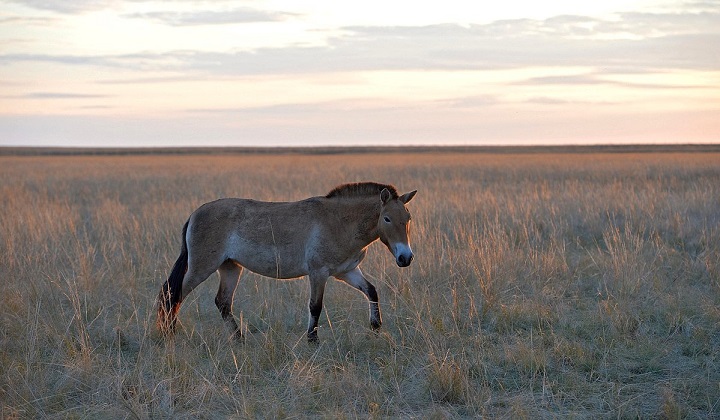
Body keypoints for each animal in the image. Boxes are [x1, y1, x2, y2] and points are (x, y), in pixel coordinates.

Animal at [157, 180, 416, 342]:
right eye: (387, 218)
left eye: (408, 217)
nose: (406, 258)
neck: (339, 222)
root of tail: (195, 214)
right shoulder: (318, 273)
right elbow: (315, 306)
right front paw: (312, 339)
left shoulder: (347, 272)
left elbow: (371, 291)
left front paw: (375, 326)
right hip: (201, 268)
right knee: (174, 295)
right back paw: (168, 334)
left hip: (230, 267)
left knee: (222, 302)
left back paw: (239, 338)